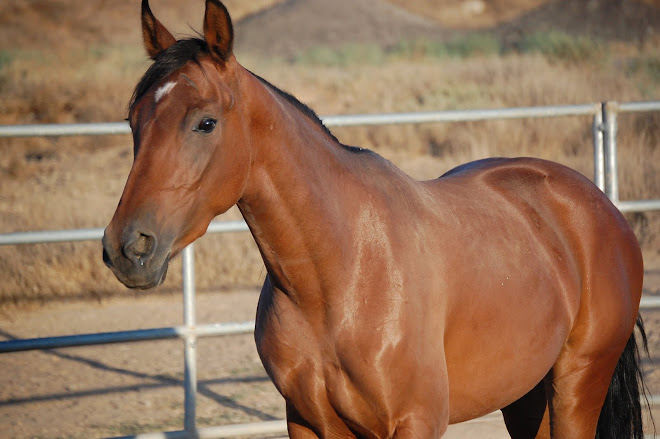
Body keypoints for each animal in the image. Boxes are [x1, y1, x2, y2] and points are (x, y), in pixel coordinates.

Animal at [103, 1, 648, 438]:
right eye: (133, 121)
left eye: (206, 122)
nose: (127, 248)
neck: (340, 276)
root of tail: (598, 205)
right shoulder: (307, 422)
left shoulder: (415, 423)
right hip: (526, 397)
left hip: (576, 385)